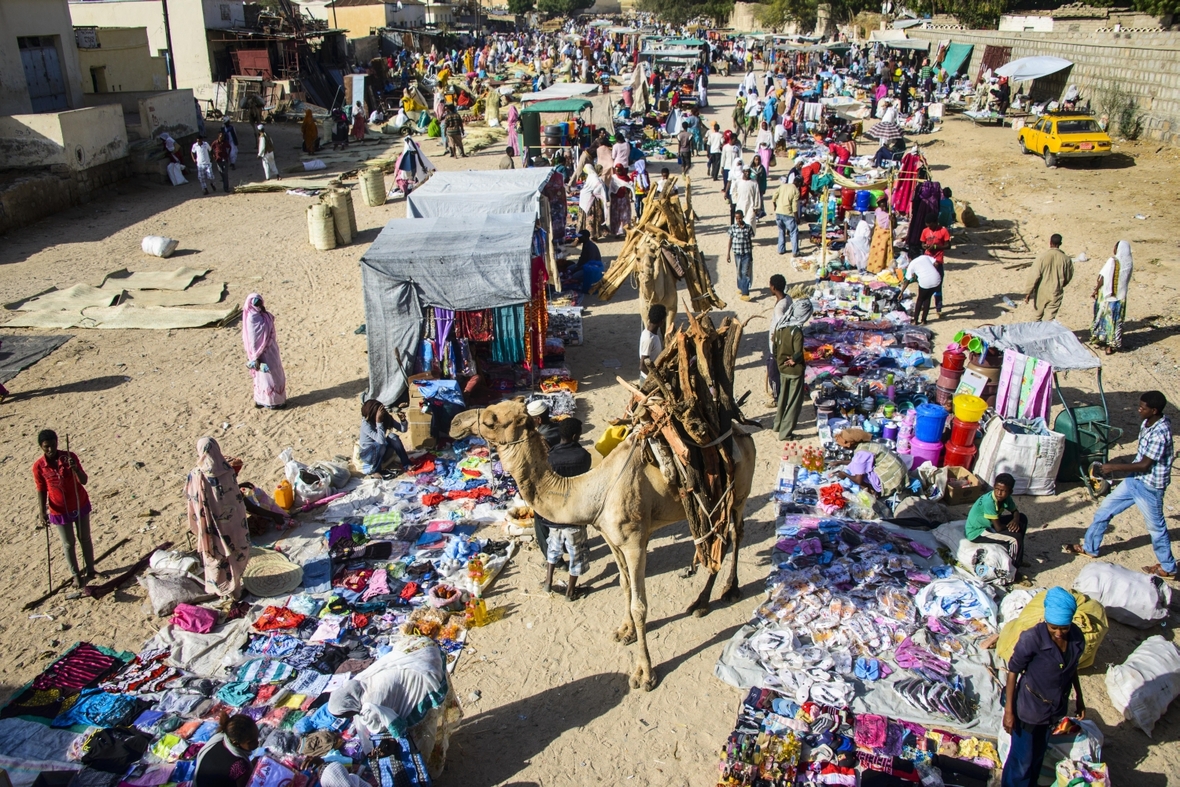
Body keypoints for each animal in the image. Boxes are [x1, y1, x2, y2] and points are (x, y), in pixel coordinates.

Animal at [450, 401, 755, 689]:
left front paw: (644, 674)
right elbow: (623, 585)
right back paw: (703, 601)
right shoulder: (612, 538)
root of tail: (743, 433)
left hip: (739, 491)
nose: (455, 423)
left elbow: (640, 605)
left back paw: (723, 593)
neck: (592, 490)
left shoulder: (634, 542)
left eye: (491, 420)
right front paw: (625, 631)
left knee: (735, 533)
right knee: (719, 538)